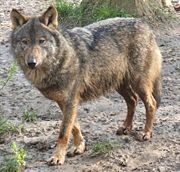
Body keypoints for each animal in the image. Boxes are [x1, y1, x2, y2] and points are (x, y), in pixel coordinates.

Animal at [9, 5, 162, 165]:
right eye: (25, 42)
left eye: (41, 41)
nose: (31, 63)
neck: (61, 60)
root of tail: (144, 24)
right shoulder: (64, 102)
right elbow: (74, 126)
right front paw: (79, 147)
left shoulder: (70, 100)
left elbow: (64, 132)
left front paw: (58, 157)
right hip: (119, 84)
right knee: (133, 100)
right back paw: (126, 127)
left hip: (138, 83)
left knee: (151, 103)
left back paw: (146, 133)